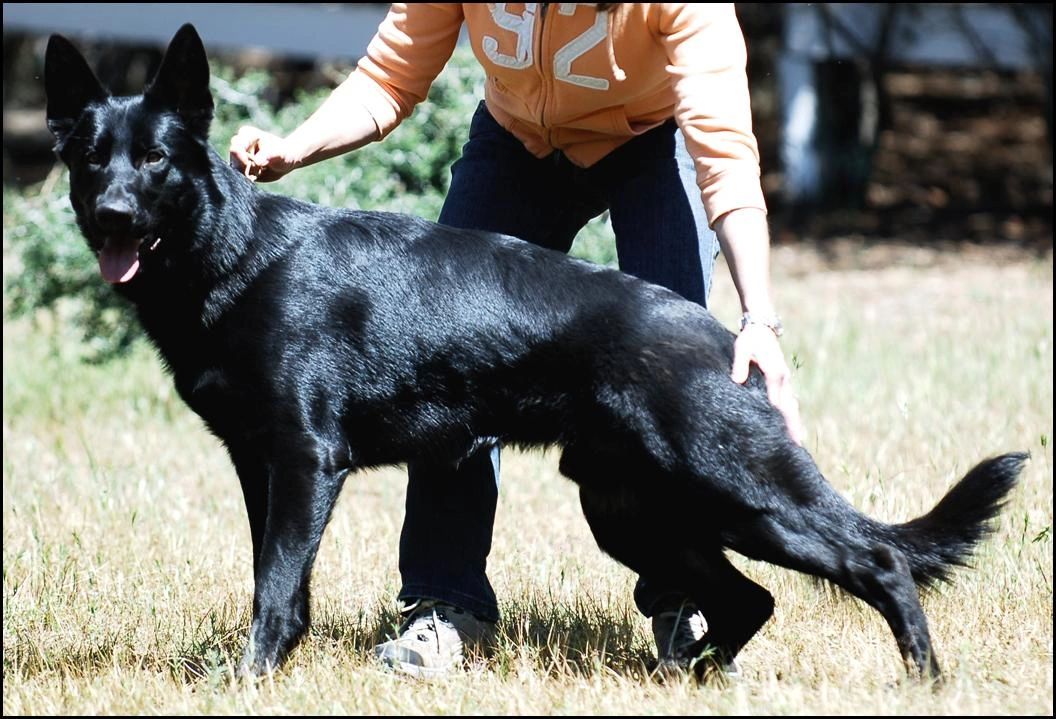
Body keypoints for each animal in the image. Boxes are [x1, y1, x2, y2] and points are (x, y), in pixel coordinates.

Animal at [45, 23, 1026, 679]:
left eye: (158, 160)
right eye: (92, 160)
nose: (114, 218)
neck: (235, 255)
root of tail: (720, 335)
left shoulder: (305, 462)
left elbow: (276, 586)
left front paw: (250, 680)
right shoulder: (264, 471)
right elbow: (276, 580)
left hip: (742, 499)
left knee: (877, 562)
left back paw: (922, 681)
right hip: (632, 510)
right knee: (751, 598)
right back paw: (689, 677)